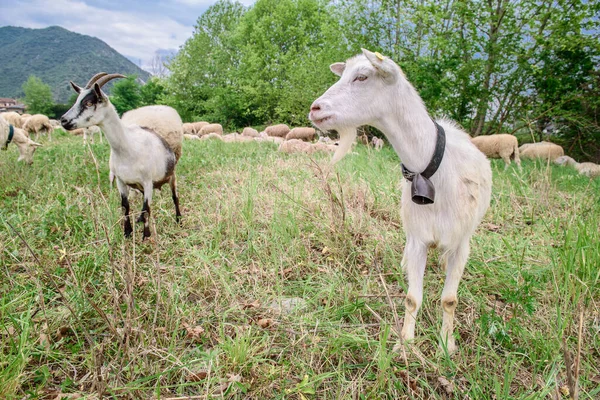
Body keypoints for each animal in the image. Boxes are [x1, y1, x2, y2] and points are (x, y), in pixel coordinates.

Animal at [61, 73, 184, 239]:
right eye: (76, 100)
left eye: (89, 102)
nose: (63, 120)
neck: (128, 148)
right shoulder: (121, 181)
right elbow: (125, 206)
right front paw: (127, 232)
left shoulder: (147, 181)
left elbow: (146, 208)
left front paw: (146, 235)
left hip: (171, 176)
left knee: (174, 197)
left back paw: (178, 219)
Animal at [310, 49, 492, 354]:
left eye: (362, 77)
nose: (315, 108)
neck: (431, 167)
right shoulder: (418, 238)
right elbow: (411, 297)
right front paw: (405, 343)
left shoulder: (461, 242)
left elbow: (449, 299)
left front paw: (447, 344)